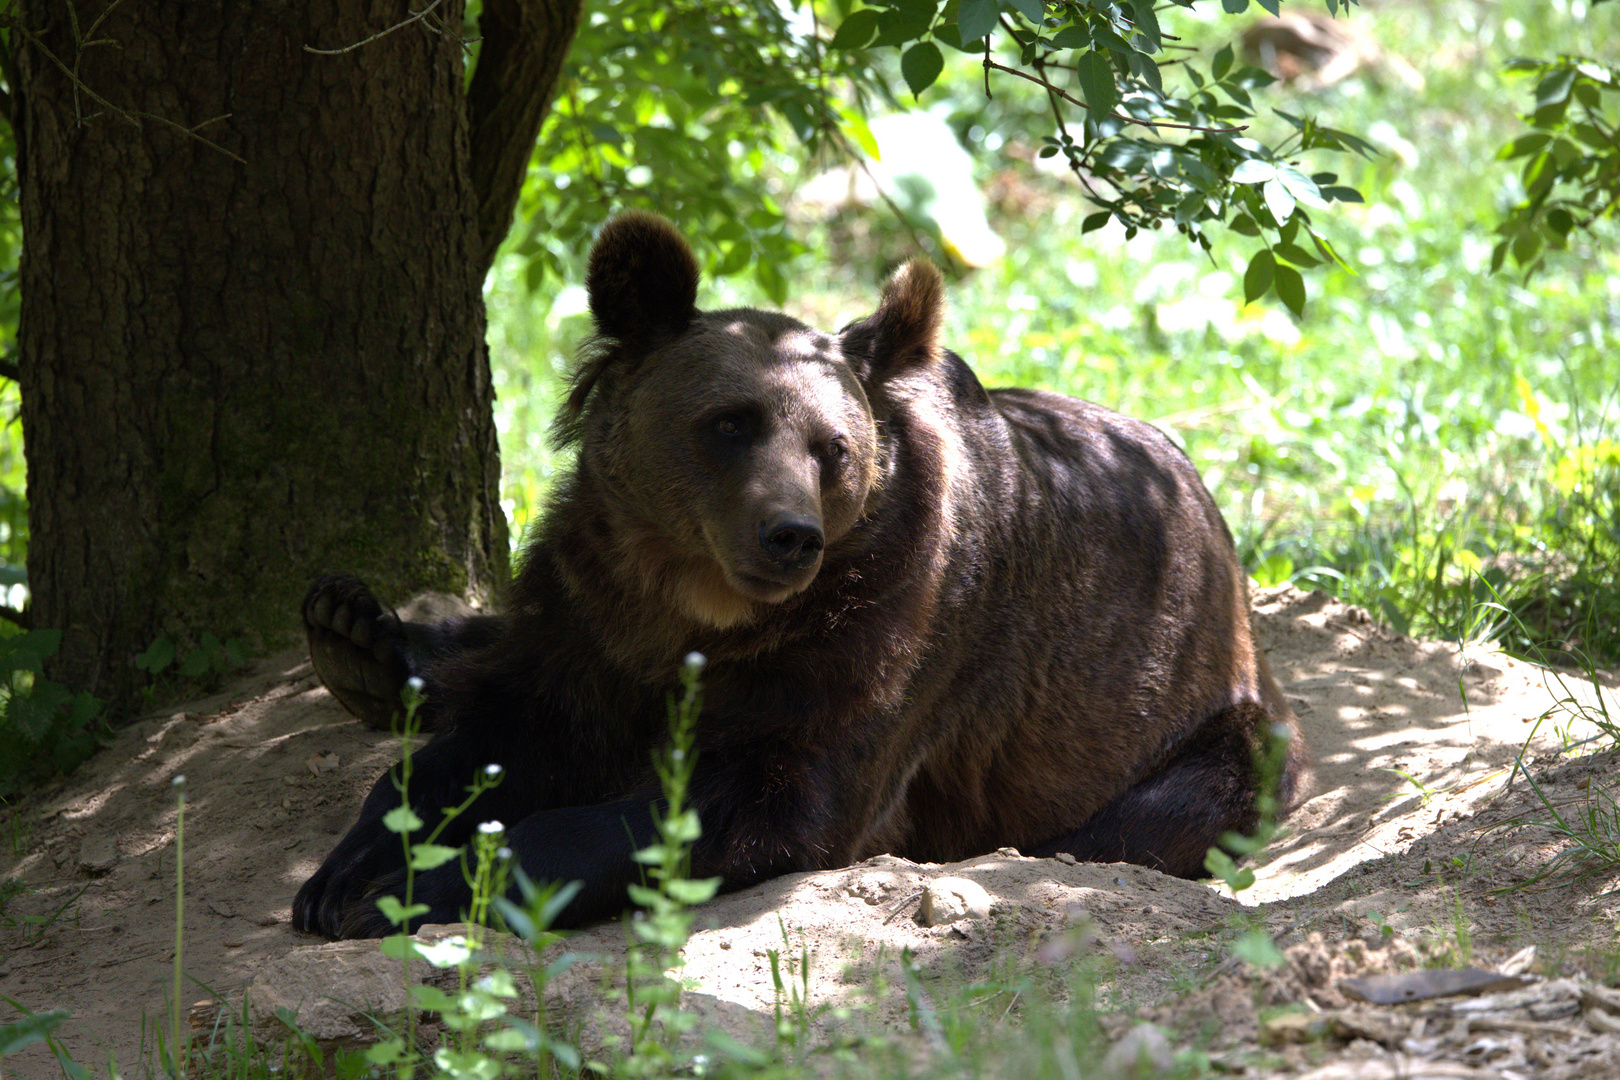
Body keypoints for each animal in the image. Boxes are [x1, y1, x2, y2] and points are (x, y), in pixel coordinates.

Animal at [288, 208, 1302, 939]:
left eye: (832, 447)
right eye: (730, 421)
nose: (791, 537)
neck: (696, 608)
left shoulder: (878, 644)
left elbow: (744, 803)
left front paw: (412, 887)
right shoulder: (589, 609)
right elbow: (500, 733)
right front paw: (347, 872)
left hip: (1200, 720)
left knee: (1159, 810)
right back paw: (357, 633)